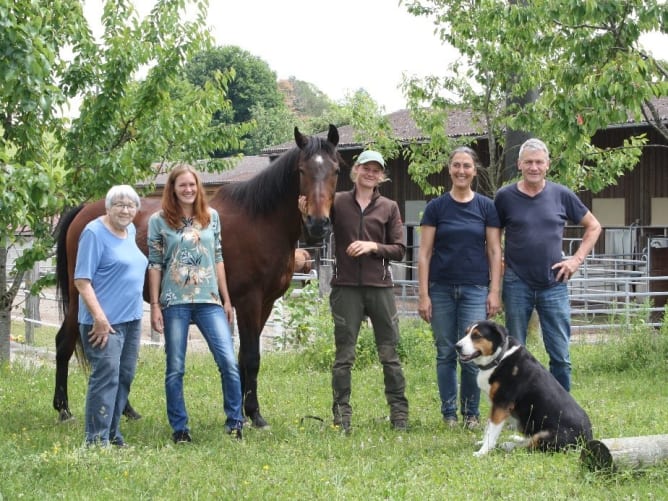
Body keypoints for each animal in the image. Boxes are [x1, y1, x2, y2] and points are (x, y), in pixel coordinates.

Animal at [54, 125, 342, 426]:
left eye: (335, 170)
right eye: (301, 170)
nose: (318, 224)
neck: (260, 221)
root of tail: (83, 211)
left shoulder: (265, 304)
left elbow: (243, 357)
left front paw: (243, 412)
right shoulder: (249, 302)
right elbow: (252, 357)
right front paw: (254, 414)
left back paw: (126, 411)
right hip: (81, 297)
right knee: (64, 343)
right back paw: (64, 410)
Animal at [456, 318, 592, 456]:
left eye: (477, 336)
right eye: (466, 333)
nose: (457, 346)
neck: (499, 357)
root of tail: (587, 440)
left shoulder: (501, 404)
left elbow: (492, 430)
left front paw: (483, 452)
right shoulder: (495, 404)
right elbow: (488, 428)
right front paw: (482, 443)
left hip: (548, 435)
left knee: (531, 446)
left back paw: (509, 445)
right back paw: (514, 439)